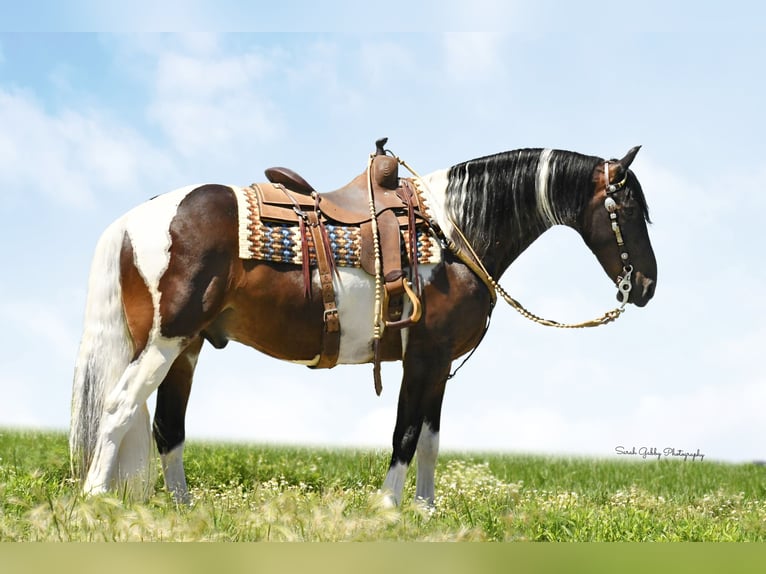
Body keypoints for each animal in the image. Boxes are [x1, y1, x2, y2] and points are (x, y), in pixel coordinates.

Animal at [70, 145, 660, 508]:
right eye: (629, 207)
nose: (647, 286)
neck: (453, 233)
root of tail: (133, 218)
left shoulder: (439, 364)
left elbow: (430, 438)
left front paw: (425, 511)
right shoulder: (423, 357)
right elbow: (404, 433)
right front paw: (390, 507)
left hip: (187, 348)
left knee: (168, 427)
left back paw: (184, 510)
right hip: (164, 342)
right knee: (119, 408)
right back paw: (96, 499)